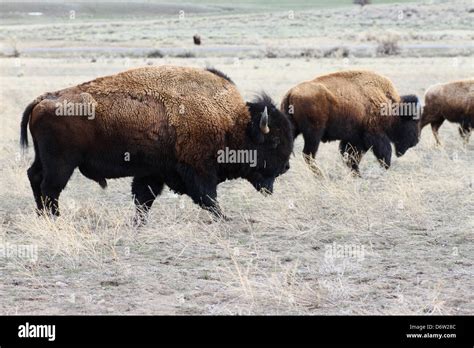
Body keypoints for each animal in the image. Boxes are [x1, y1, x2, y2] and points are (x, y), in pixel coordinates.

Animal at [20, 66, 294, 223]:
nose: (286, 168)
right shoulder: (197, 169)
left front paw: (138, 222)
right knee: (50, 187)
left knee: (35, 177)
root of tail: (42, 99)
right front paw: (225, 217)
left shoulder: (153, 172)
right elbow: (207, 197)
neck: (232, 121)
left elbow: (144, 198)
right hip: (62, 163)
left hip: (45, 159)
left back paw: (42, 216)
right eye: (274, 141)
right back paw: (55, 218)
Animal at [280, 69, 420, 175]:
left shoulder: (354, 139)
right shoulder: (374, 135)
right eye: (412, 121)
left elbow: (351, 157)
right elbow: (384, 153)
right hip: (313, 134)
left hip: (293, 130)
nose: (415, 141)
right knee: (308, 154)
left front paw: (356, 174)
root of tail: (291, 92)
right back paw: (320, 176)